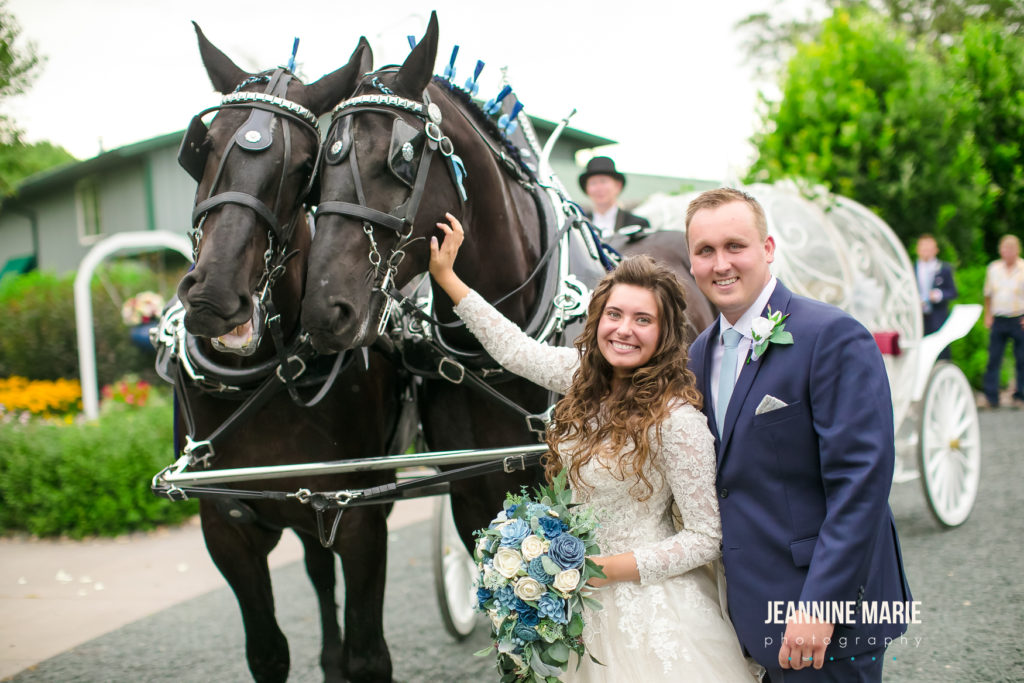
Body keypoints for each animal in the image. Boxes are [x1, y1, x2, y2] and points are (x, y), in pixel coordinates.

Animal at [174, 24, 397, 679]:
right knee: (318, 573)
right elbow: (268, 652)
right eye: (203, 146)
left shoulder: (359, 516)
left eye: (304, 166)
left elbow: (369, 654)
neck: (261, 382)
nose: (214, 295)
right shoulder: (226, 527)